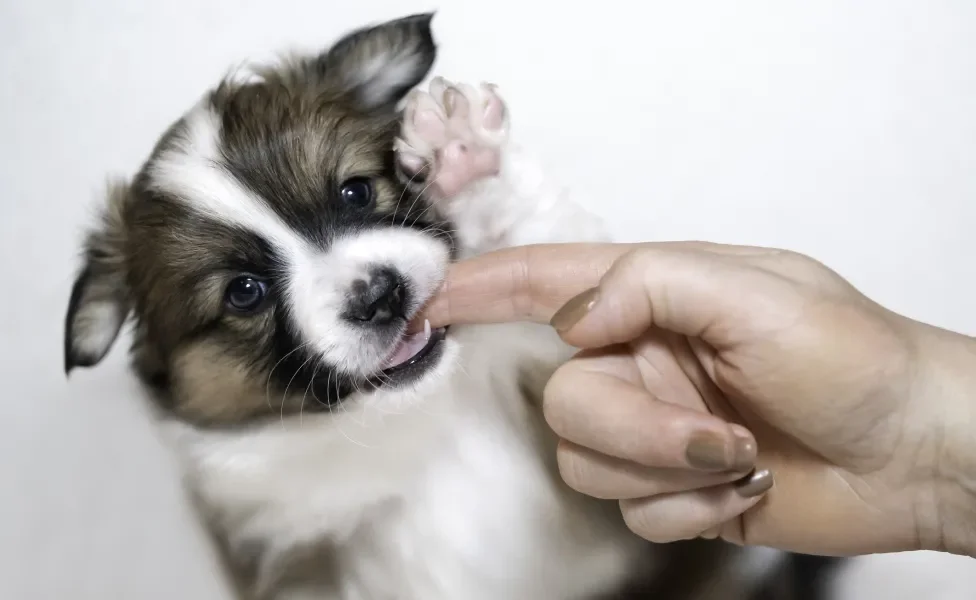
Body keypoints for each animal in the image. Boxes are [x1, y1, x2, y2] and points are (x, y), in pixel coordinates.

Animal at [65, 11, 804, 596]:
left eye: (356, 192)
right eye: (244, 292)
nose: (379, 295)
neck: (428, 418)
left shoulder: (552, 356)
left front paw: (460, 154)